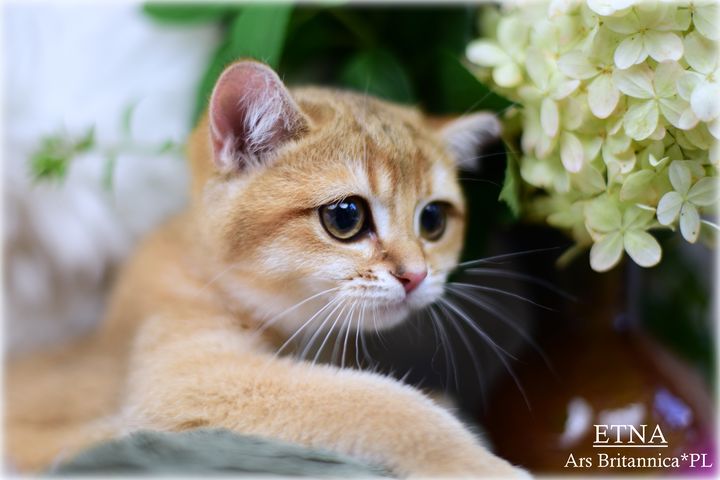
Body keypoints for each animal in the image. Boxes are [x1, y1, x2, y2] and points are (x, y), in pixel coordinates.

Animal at [6, 60, 525, 477]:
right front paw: (477, 462)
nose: (416, 276)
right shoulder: (188, 382)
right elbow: (382, 401)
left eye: (433, 220)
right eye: (346, 216)